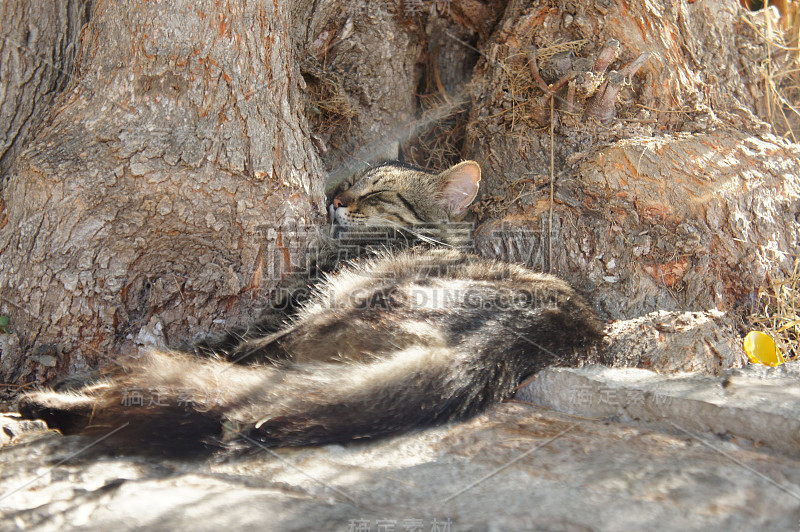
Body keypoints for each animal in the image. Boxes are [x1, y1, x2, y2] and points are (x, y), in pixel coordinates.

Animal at [21, 160, 604, 450]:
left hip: (331, 315)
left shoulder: (284, 307)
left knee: (216, 378)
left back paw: (52, 400)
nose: (335, 201)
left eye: (376, 194)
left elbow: (213, 341)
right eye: (348, 184)